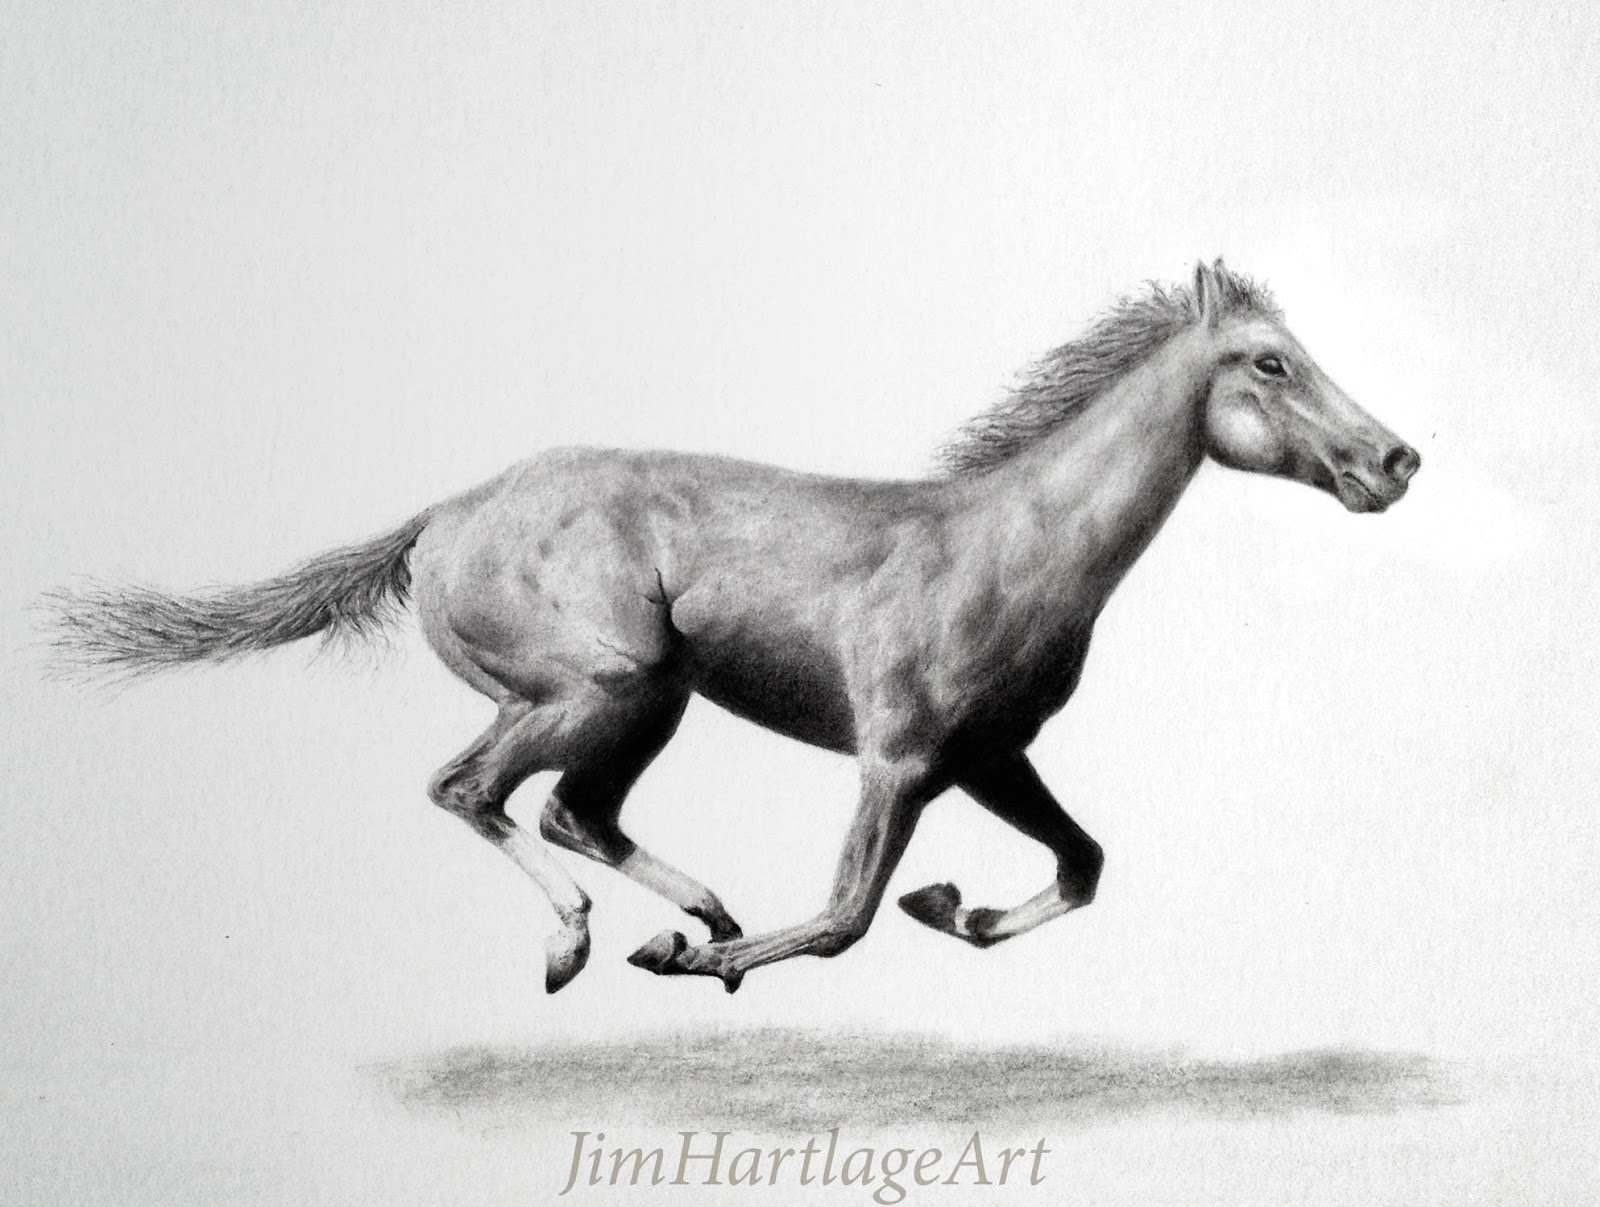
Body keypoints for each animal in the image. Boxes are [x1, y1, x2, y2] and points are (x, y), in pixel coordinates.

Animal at [46, 260, 1420, 995]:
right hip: (598, 684)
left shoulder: (989, 757)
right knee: (474, 791)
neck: (1011, 545)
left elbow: (1081, 863)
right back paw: (588, 940)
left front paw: (954, 909)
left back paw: (696, 910)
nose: (1396, 459)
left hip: (642, 700)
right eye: (1269, 361)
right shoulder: (900, 760)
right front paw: (708, 959)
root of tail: (441, 516)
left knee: (568, 810)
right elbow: (842, 917)